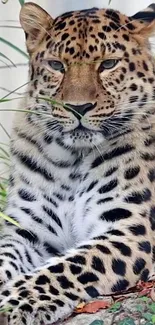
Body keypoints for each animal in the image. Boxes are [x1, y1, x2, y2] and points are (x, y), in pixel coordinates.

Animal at [0, 3, 155, 324]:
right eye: (57, 65)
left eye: (108, 64)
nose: (78, 108)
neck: (73, 159)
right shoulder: (28, 230)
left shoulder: (131, 228)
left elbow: (66, 267)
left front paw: (12, 302)